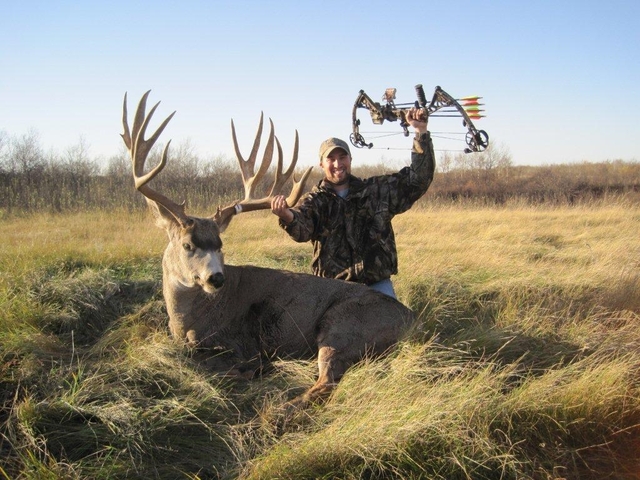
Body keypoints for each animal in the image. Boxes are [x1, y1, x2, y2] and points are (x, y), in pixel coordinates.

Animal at [121, 91, 415, 407]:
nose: (217, 278)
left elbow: (208, 363)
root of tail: (413, 320)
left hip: (342, 324)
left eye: (220, 243)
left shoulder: (239, 343)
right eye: (188, 244)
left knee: (326, 382)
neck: (186, 320)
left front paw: (247, 371)